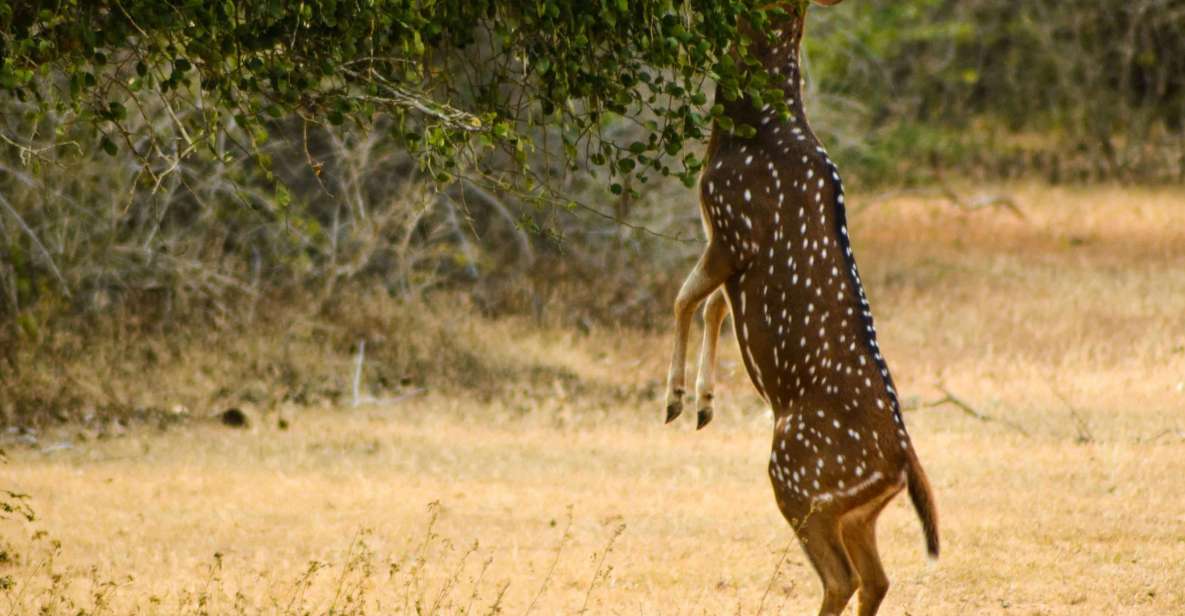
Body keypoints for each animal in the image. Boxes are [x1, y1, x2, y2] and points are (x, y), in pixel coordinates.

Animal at [663, 2, 938, 611]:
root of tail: (901, 467)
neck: (748, 132)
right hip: (856, 509)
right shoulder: (724, 246)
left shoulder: (732, 229)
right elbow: (711, 307)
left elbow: (684, 298)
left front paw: (674, 400)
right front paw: (703, 404)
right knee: (877, 577)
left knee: (841, 576)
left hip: (795, 475)